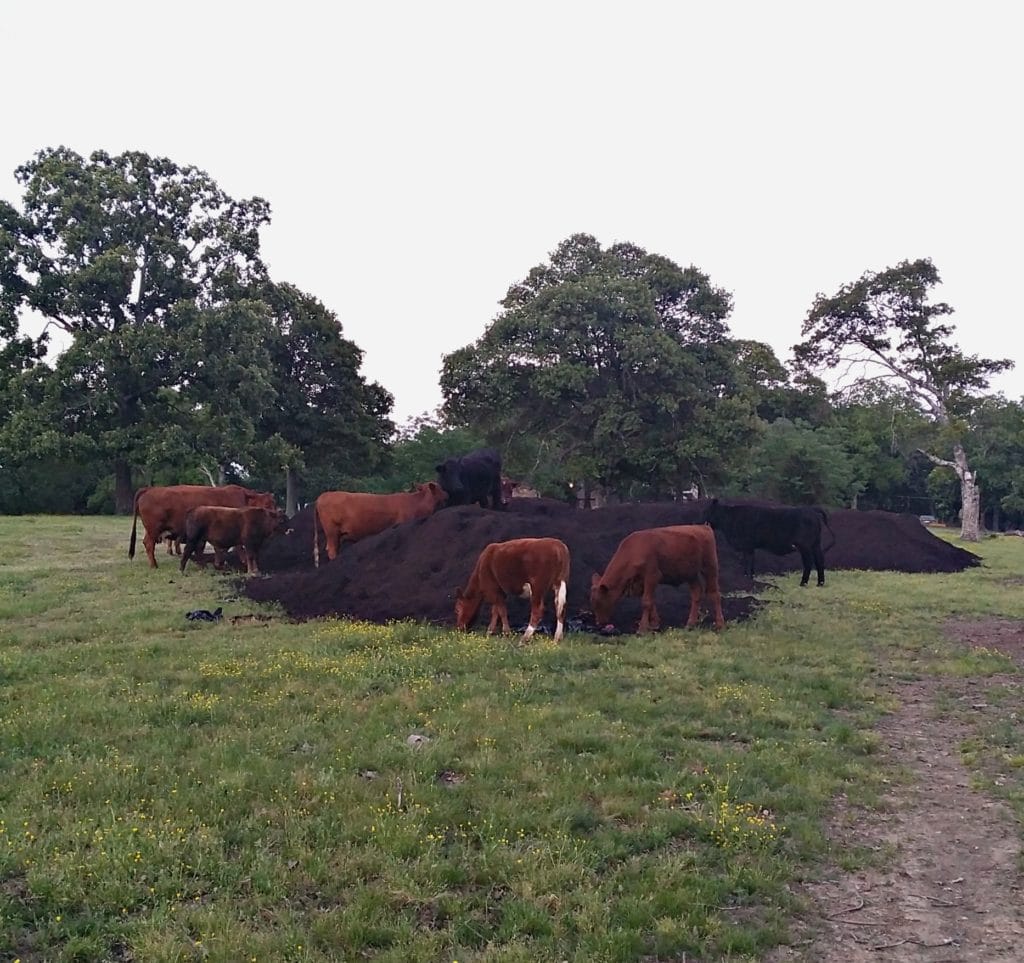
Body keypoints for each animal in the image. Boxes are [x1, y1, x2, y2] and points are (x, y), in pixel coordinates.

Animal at [129, 484, 278, 568]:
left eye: (273, 503)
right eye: (266, 505)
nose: (276, 517)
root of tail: (149, 489)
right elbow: (236, 546)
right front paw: (243, 562)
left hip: (151, 530)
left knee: (146, 542)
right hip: (154, 529)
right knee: (149, 544)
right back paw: (154, 565)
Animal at [313, 482, 448, 567]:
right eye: (440, 488)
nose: (447, 494)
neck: (415, 502)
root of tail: (323, 496)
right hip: (331, 531)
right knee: (331, 549)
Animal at [590, 525, 725, 633]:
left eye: (599, 602)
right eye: (593, 603)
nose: (599, 622)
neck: (634, 549)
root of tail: (703, 527)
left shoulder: (652, 576)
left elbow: (646, 602)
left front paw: (642, 628)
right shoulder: (641, 583)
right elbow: (651, 601)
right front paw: (654, 624)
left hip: (710, 567)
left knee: (714, 594)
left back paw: (720, 624)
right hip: (691, 574)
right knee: (696, 593)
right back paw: (690, 624)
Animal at [700, 498, 835, 586]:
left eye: (706, 511)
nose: (701, 520)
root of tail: (811, 510)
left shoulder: (747, 545)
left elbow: (747, 561)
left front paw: (747, 577)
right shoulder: (749, 547)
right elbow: (750, 561)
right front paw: (749, 577)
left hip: (804, 546)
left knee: (809, 562)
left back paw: (803, 583)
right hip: (815, 544)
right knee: (819, 560)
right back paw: (820, 583)